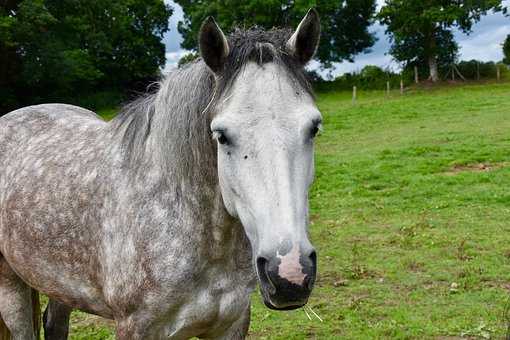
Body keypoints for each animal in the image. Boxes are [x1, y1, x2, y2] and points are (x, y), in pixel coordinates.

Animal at [0, 9, 322, 338]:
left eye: (314, 128)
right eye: (221, 136)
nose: (289, 274)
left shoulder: (231, 324)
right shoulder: (135, 327)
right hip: (11, 287)